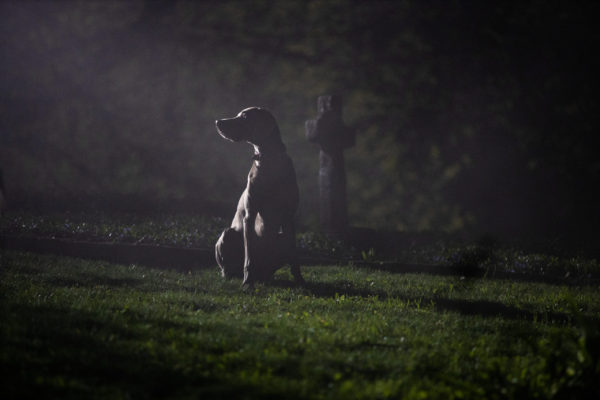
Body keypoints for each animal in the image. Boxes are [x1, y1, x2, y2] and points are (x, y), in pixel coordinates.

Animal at [214, 107, 304, 288]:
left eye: (244, 117)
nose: (218, 122)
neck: (269, 162)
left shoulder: (288, 217)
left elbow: (294, 256)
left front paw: (300, 280)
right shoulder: (250, 215)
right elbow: (249, 257)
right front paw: (247, 282)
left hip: (280, 239)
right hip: (228, 234)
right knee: (228, 265)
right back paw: (233, 275)